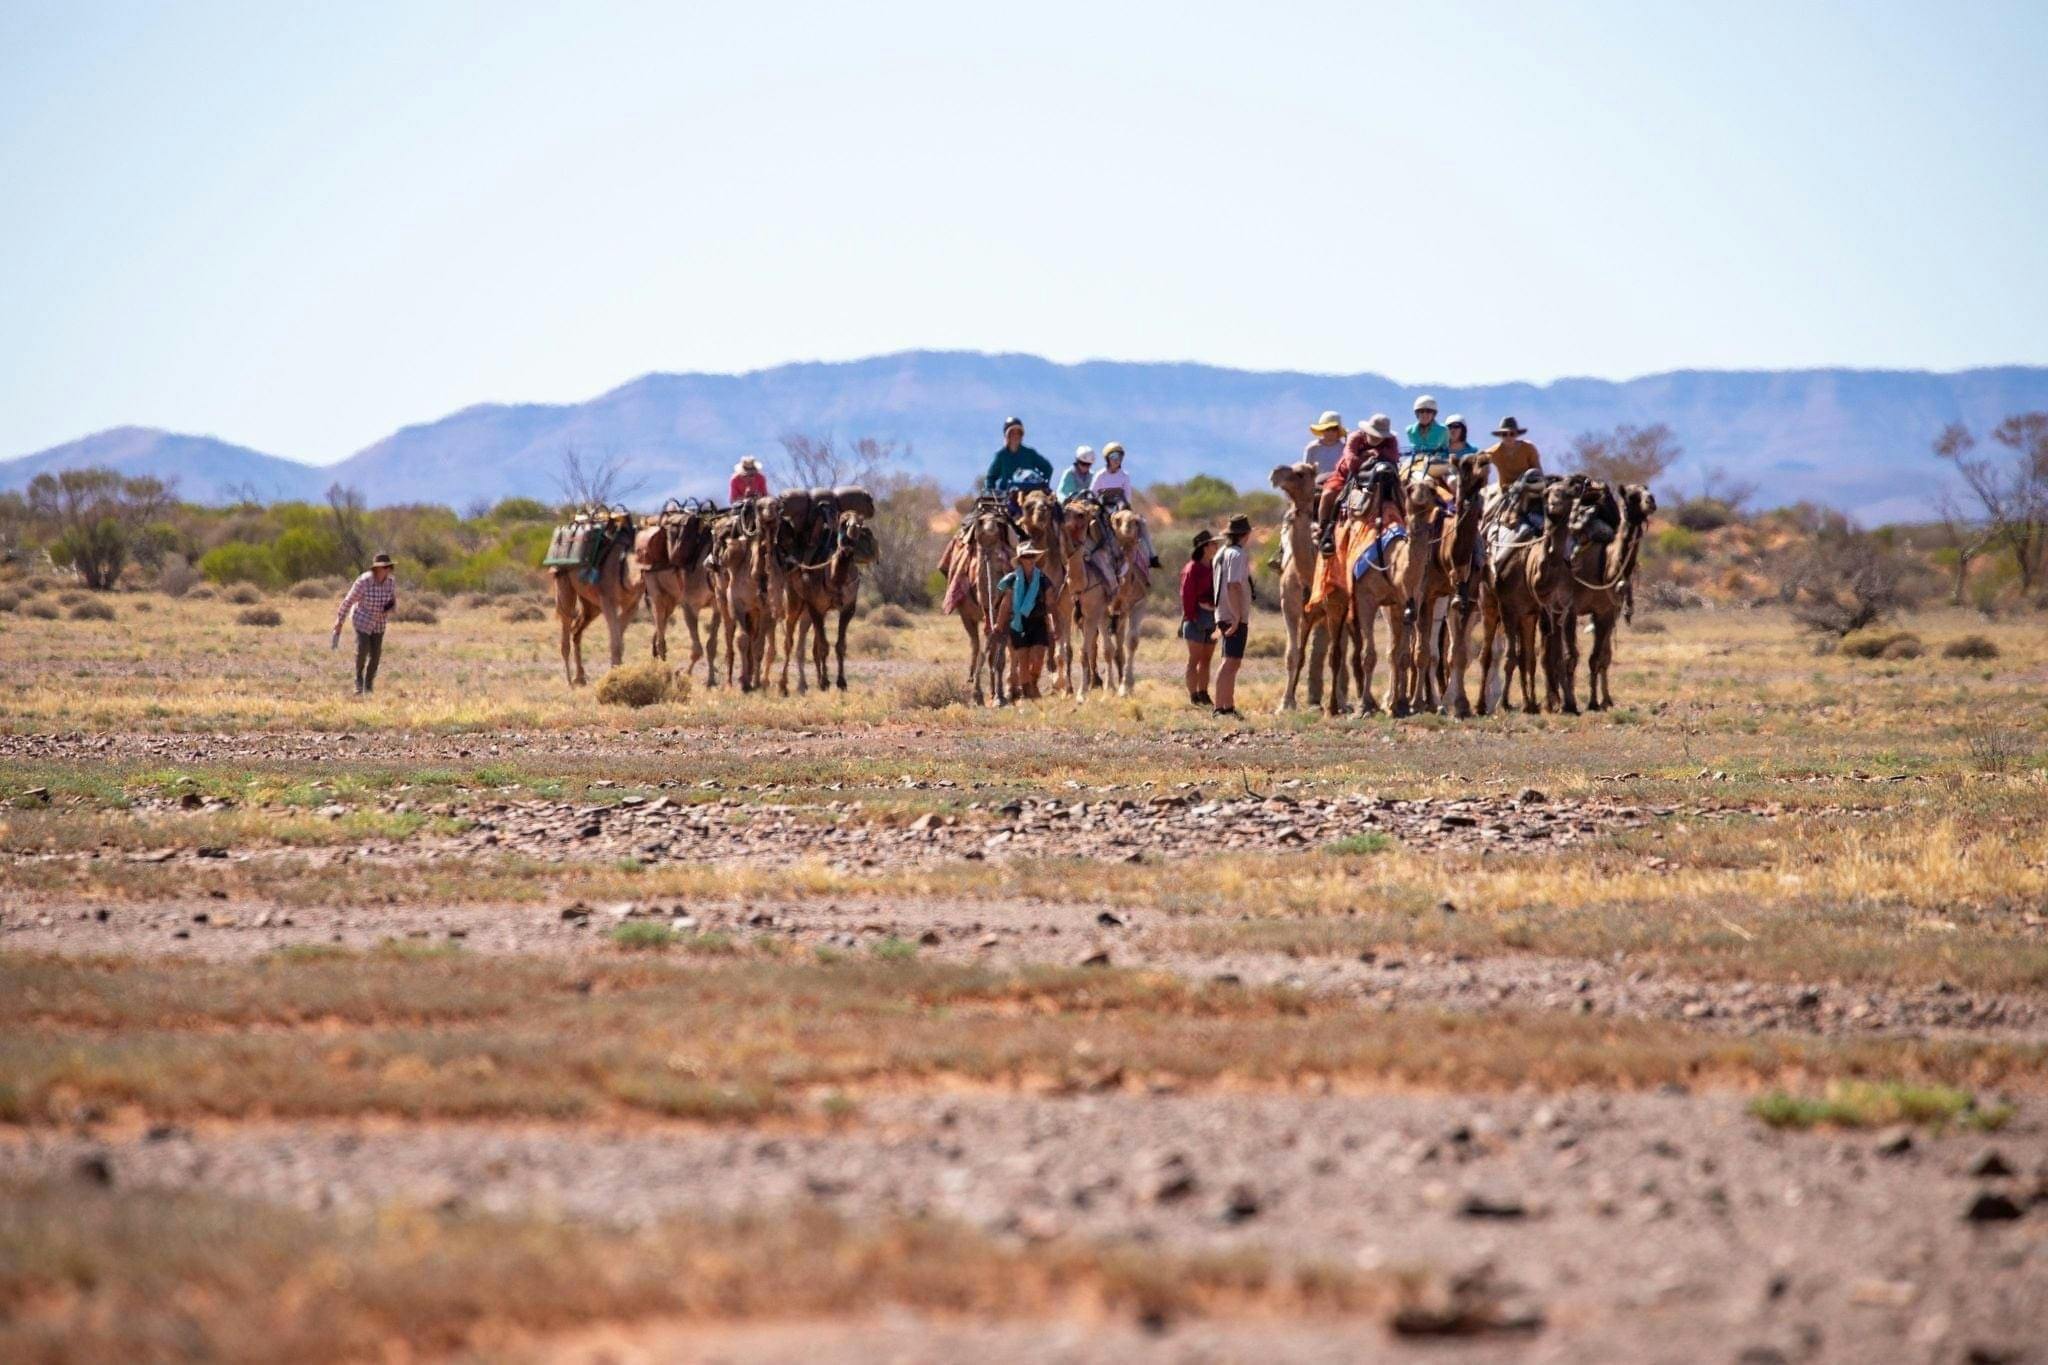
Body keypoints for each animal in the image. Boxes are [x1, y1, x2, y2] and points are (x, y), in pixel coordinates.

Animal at [552, 518, 642, 687]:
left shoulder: (632, 604)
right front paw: (615, 678)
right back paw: (569, 681)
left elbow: (618, 639)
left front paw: (618, 673)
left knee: (576, 629)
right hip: (563, 580)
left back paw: (580, 677)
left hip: (591, 604)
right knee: (566, 623)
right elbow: (616, 642)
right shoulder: (608, 600)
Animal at [779, 510, 881, 694]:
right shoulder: (816, 607)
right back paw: (784, 686)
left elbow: (839, 645)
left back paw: (804, 684)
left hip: (808, 611)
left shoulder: (848, 609)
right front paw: (826, 681)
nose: (853, 531)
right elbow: (823, 646)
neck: (835, 578)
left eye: (860, 522)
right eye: (843, 521)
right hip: (795, 599)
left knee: (806, 643)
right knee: (789, 640)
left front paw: (840, 682)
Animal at [1479, 479, 1578, 715]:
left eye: (1568, 493)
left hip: (1527, 615)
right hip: (1489, 602)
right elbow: (1510, 657)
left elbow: (1545, 657)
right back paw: (1480, 705)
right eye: (1550, 493)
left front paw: (1561, 704)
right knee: (1487, 654)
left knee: (1528, 657)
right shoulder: (1508, 607)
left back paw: (1530, 702)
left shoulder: (1549, 608)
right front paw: (1504, 703)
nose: (1553, 506)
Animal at [1560, 483, 1657, 711]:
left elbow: (1597, 658)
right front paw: (1570, 703)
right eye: (1631, 495)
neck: (1602, 565)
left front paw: (1596, 702)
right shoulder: (1570, 609)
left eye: (1648, 490)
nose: (1651, 501)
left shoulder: (1604, 611)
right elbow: (1570, 657)